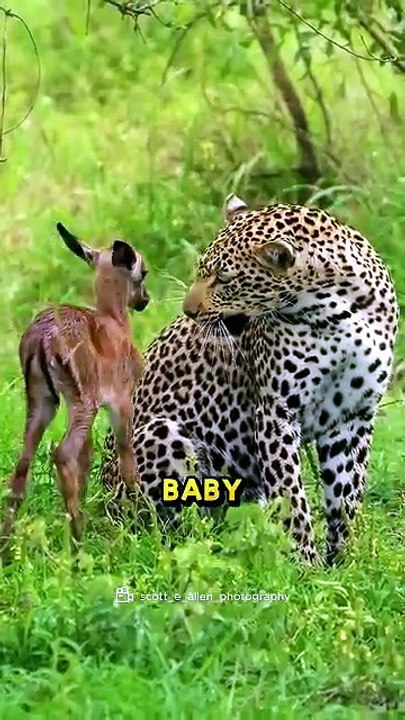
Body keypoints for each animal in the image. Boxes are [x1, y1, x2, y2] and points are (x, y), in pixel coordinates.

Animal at [1, 222, 149, 555]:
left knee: (24, 461)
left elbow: (88, 458)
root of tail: (40, 339)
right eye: (143, 271)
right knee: (62, 454)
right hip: (83, 403)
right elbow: (126, 458)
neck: (115, 324)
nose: (144, 300)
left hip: (43, 401)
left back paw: (7, 547)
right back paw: (78, 544)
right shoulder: (121, 403)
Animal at [100, 194, 399, 564]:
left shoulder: (353, 415)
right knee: (162, 528)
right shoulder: (276, 412)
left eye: (225, 279)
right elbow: (290, 495)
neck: (337, 312)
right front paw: (305, 564)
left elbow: (346, 494)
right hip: (162, 437)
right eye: (202, 270)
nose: (188, 312)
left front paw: (344, 561)